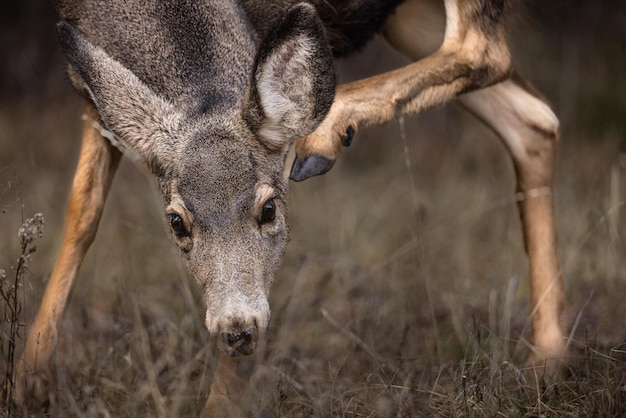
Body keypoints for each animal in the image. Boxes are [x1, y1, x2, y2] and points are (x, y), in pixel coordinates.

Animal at [14, 0, 564, 414]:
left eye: (269, 210)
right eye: (176, 222)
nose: (235, 329)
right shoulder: (94, 94)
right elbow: (82, 211)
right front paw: (27, 380)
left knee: (483, 49)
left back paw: (325, 133)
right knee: (533, 118)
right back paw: (547, 364)